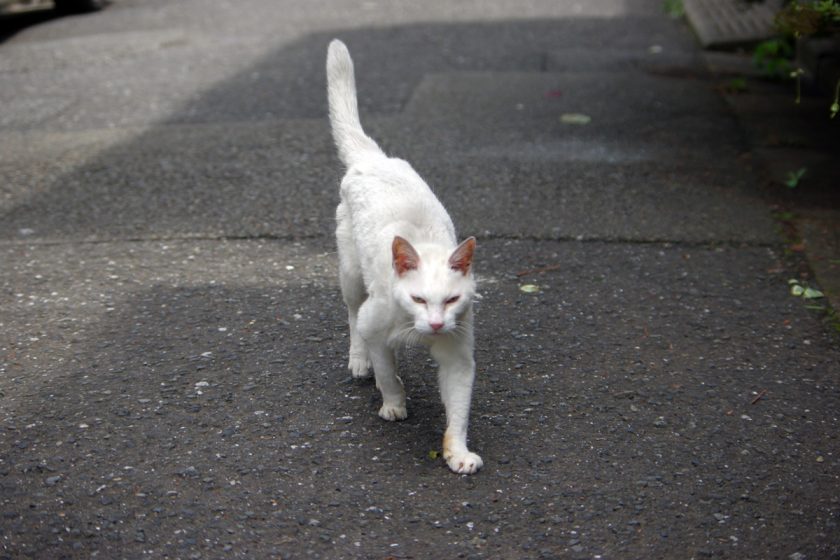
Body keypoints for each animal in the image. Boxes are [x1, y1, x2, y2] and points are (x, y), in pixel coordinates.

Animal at [328, 39, 486, 474]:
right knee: (351, 315)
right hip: (351, 275)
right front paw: (394, 405)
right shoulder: (375, 324)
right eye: (418, 298)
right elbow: (387, 373)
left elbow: (458, 410)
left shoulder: (458, 353)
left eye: (451, 300)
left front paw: (457, 452)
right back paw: (358, 361)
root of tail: (375, 158)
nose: (434, 323)